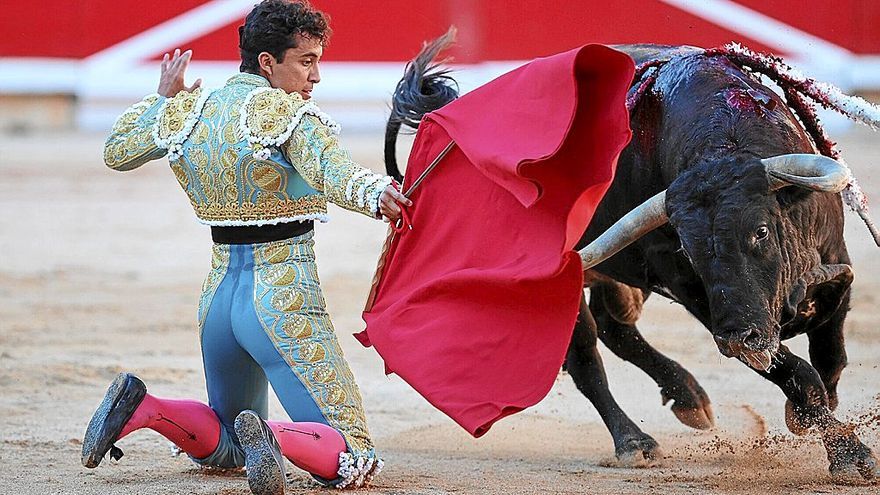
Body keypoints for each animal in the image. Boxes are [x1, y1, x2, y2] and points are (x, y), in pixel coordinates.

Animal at [386, 34, 880, 480]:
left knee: (616, 328)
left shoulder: (835, 261)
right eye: (690, 250)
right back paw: (635, 442)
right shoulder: (695, 292)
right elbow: (798, 372)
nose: (738, 339)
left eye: (760, 231)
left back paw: (689, 398)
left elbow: (830, 354)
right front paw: (849, 456)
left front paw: (811, 421)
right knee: (587, 356)